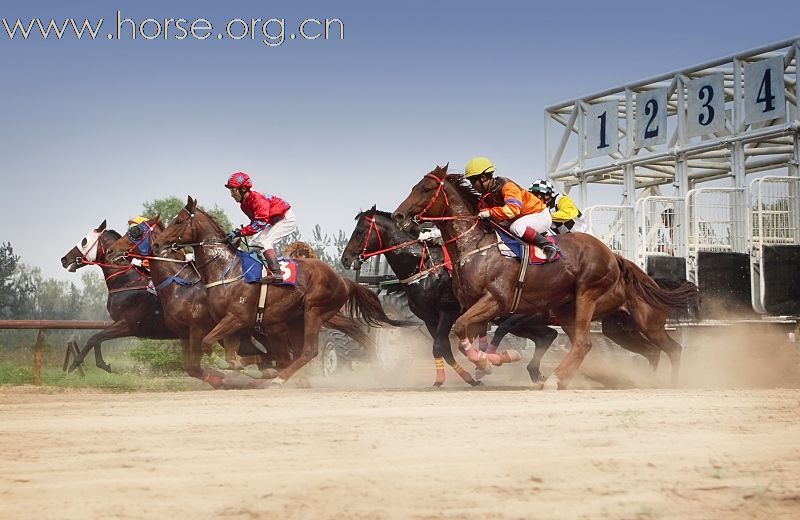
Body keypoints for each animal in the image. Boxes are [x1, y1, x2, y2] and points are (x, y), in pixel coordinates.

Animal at [153, 197, 410, 388]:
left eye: (179, 221)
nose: (156, 244)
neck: (226, 270)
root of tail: (344, 280)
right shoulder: (229, 323)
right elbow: (228, 354)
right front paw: (235, 368)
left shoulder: (238, 318)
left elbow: (208, 344)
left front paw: (228, 371)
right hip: (292, 320)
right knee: (295, 354)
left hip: (313, 311)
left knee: (307, 352)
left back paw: (278, 378)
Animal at [340, 207, 560, 386]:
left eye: (360, 231)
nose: (345, 258)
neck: (426, 268)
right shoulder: (429, 318)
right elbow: (444, 348)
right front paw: (466, 378)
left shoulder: (448, 311)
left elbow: (440, 345)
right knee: (547, 335)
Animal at [390, 165, 696, 388]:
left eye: (426, 188)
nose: (398, 215)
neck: (474, 246)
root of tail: (614, 256)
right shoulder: (473, 307)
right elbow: (467, 338)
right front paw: (489, 363)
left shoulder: (496, 302)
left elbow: (465, 329)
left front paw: (493, 361)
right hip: (604, 322)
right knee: (633, 349)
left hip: (610, 305)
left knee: (657, 348)